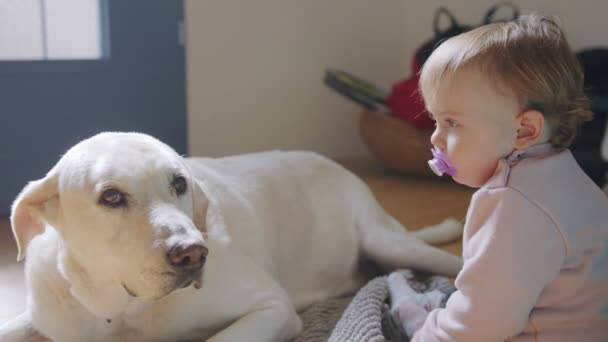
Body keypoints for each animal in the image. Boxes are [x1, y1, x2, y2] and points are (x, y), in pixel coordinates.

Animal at [0, 132, 460, 340]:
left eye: (179, 183)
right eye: (111, 196)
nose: (192, 254)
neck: (119, 309)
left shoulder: (272, 307)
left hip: (385, 240)